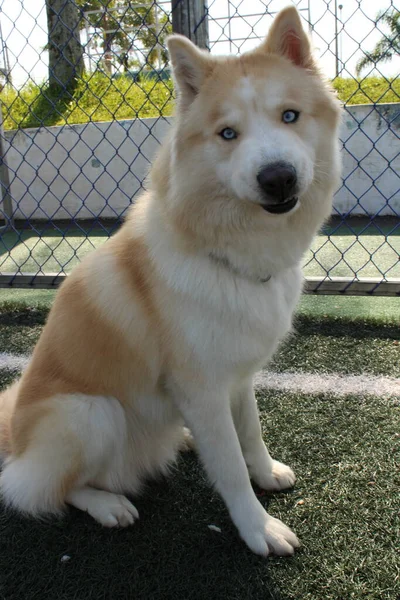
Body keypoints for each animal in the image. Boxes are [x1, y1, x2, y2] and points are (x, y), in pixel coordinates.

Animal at [0, 5, 342, 556]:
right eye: (228, 134)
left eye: (290, 116)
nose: (278, 178)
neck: (227, 253)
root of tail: (15, 440)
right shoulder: (201, 387)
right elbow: (230, 468)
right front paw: (259, 529)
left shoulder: (237, 376)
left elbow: (250, 434)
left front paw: (267, 473)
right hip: (90, 413)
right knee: (44, 489)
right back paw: (108, 504)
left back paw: (179, 439)